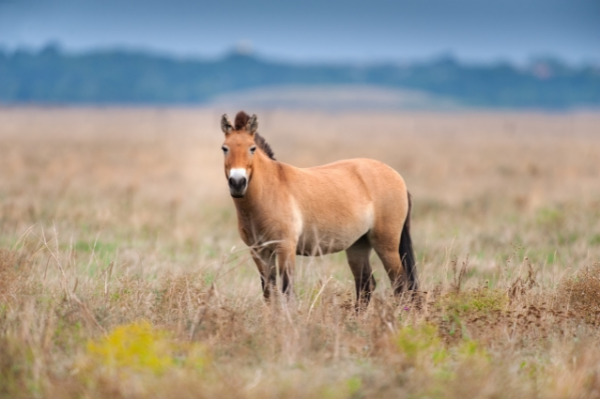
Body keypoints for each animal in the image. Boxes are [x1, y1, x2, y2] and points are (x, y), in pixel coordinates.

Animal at [219, 111, 418, 308]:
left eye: (252, 148)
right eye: (224, 148)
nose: (237, 183)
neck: (269, 192)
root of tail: (397, 176)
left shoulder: (285, 248)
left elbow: (286, 291)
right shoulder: (259, 252)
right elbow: (269, 293)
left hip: (386, 244)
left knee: (400, 283)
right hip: (358, 245)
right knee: (365, 284)